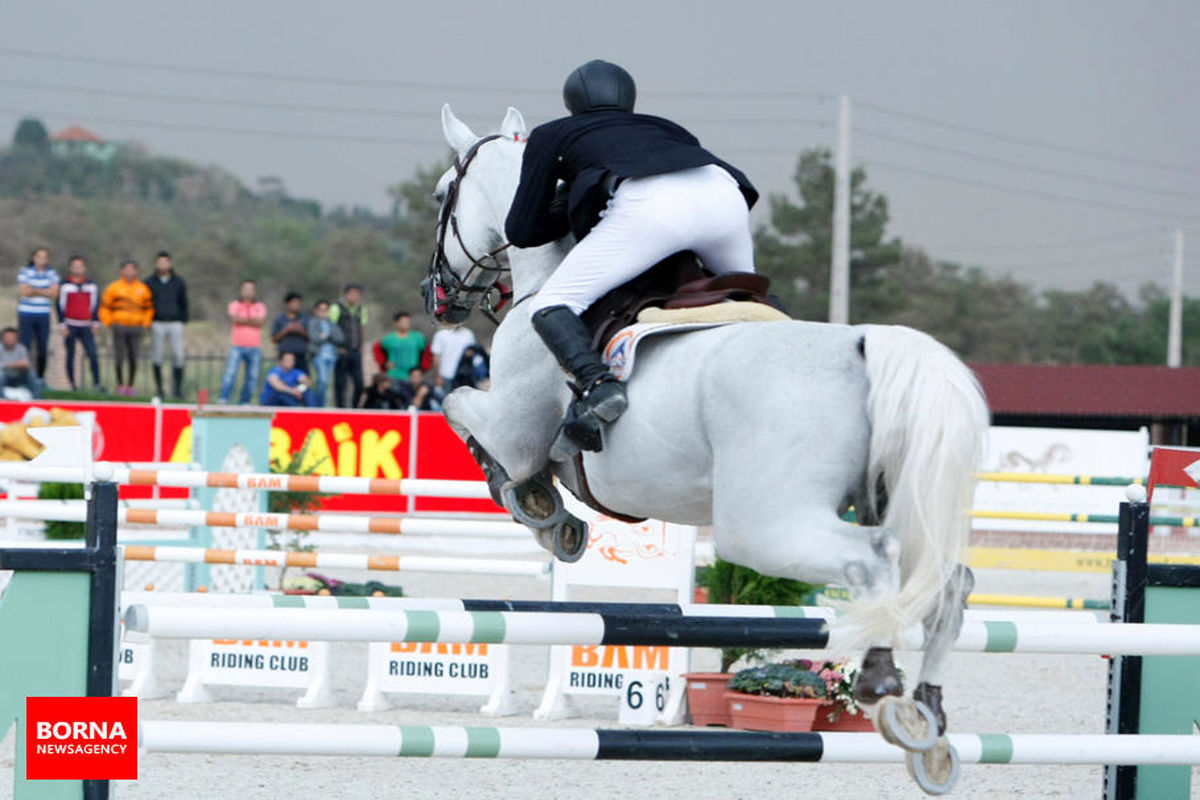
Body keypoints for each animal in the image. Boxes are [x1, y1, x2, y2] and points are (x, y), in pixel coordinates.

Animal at [427, 106, 988, 796]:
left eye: (440, 195)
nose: (438, 296)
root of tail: (865, 346)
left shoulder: (513, 425)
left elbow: (463, 413)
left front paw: (541, 511)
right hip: (888, 500)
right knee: (950, 584)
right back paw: (926, 720)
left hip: (767, 527)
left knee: (874, 561)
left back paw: (883, 684)